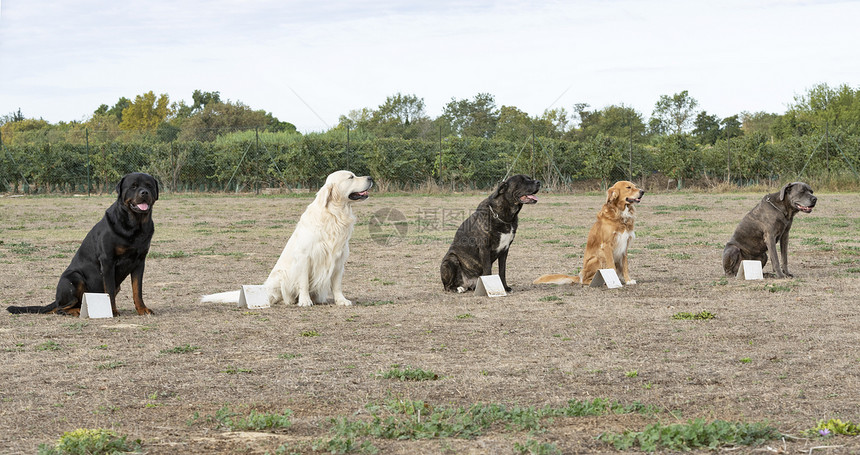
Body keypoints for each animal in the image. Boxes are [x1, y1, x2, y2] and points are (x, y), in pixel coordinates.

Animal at [7, 173, 159, 318]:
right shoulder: (108, 261)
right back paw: (76, 311)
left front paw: (142, 309)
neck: (135, 225)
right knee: (61, 308)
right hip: (75, 278)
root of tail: (56, 299)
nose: (144, 192)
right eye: (133, 186)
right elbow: (109, 290)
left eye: (149, 185)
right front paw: (112, 311)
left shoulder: (139, 262)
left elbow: (137, 290)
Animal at [205, 170, 376, 306]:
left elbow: (337, 285)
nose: (370, 177)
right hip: (281, 276)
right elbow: (304, 283)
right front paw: (305, 301)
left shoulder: (339, 260)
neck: (335, 215)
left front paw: (341, 300)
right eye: (351, 177)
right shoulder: (305, 258)